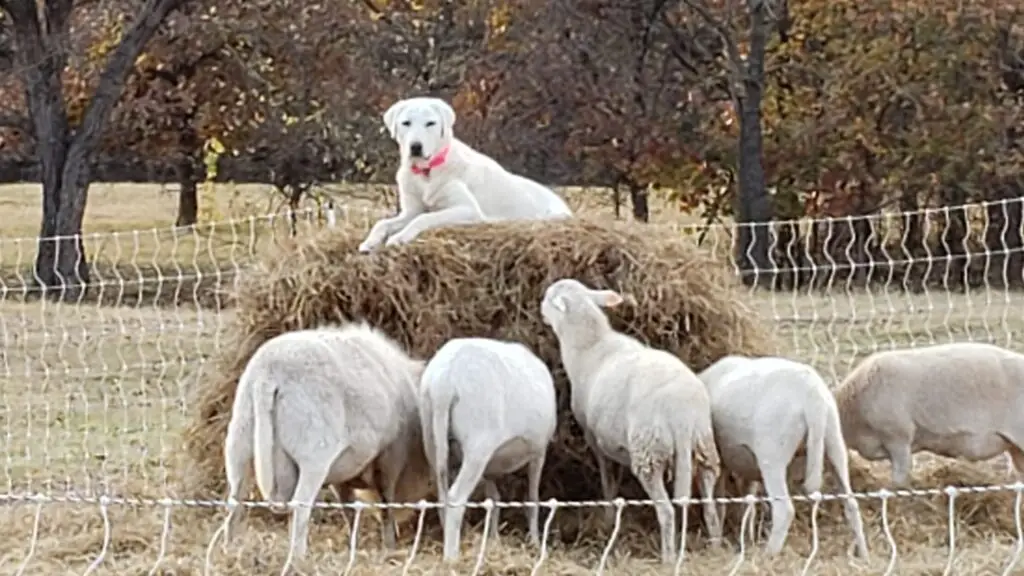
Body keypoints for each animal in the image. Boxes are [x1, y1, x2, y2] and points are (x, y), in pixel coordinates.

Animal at [221, 322, 433, 560]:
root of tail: (269, 374)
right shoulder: (390, 455)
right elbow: (386, 502)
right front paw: (389, 545)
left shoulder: (343, 471)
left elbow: (348, 507)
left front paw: (353, 541)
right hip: (313, 455)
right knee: (300, 507)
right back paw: (298, 559)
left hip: (239, 444)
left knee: (235, 504)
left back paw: (230, 550)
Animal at [358, 96, 573, 252]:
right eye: (406, 123)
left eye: (430, 123)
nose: (416, 147)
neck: (427, 171)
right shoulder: (410, 211)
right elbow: (382, 223)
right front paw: (370, 242)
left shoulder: (467, 209)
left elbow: (424, 218)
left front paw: (400, 237)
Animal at [419, 337, 558, 560]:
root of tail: (444, 382)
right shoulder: (538, 451)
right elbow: (532, 499)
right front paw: (535, 544)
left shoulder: (491, 468)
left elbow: (493, 500)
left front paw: (493, 540)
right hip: (478, 444)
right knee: (455, 497)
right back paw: (451, 558)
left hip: (431, 435)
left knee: (442, 495)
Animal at [540, 278, 722, 564]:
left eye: (549, 298)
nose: (540, 309)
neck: (590, 346)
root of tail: (681, 414)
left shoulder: (595, 437)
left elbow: (607, 478)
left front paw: (608, 516)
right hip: (703, 445)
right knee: (710, 504)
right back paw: (715, 546)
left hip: (649, 450)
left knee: (667, 511)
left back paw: (668, 558)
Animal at [697, 355, 868, 558]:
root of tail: (813, 395)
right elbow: (747, 503)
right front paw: (747, 539)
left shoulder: (719, 460)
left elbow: (717, 503)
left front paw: (717, 542)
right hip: (834, 444)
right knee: (851, 504)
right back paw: (864, 555)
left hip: (773, 455)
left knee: (784, 510)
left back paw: (768, 555)